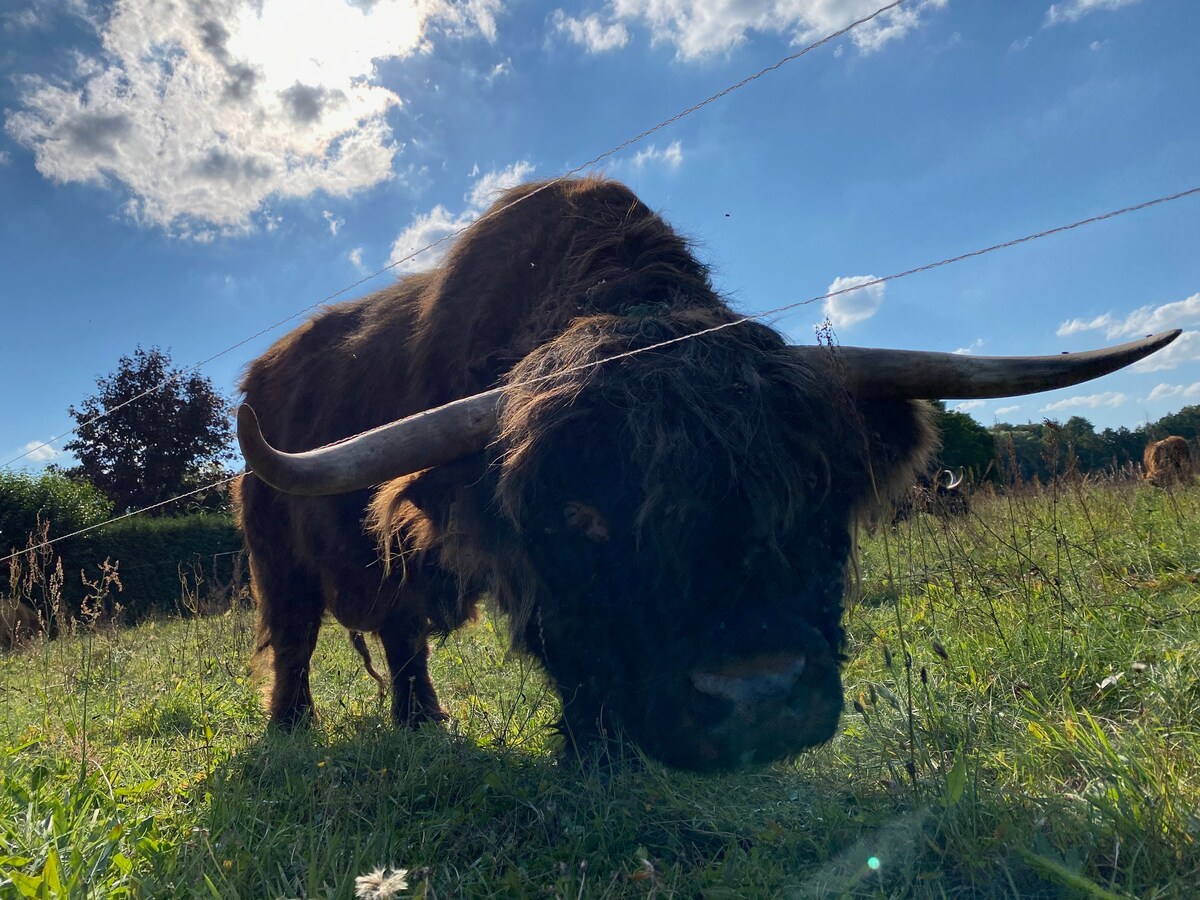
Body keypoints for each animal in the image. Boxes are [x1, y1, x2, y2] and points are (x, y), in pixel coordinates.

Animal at [231, 177, 1171, 777]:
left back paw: (423, 724)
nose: (756, 699)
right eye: (580, 514)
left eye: (811, 487)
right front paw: (598, 755)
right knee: (297, 638)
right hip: (276, 559)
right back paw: (294, 732)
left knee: (401, 635)